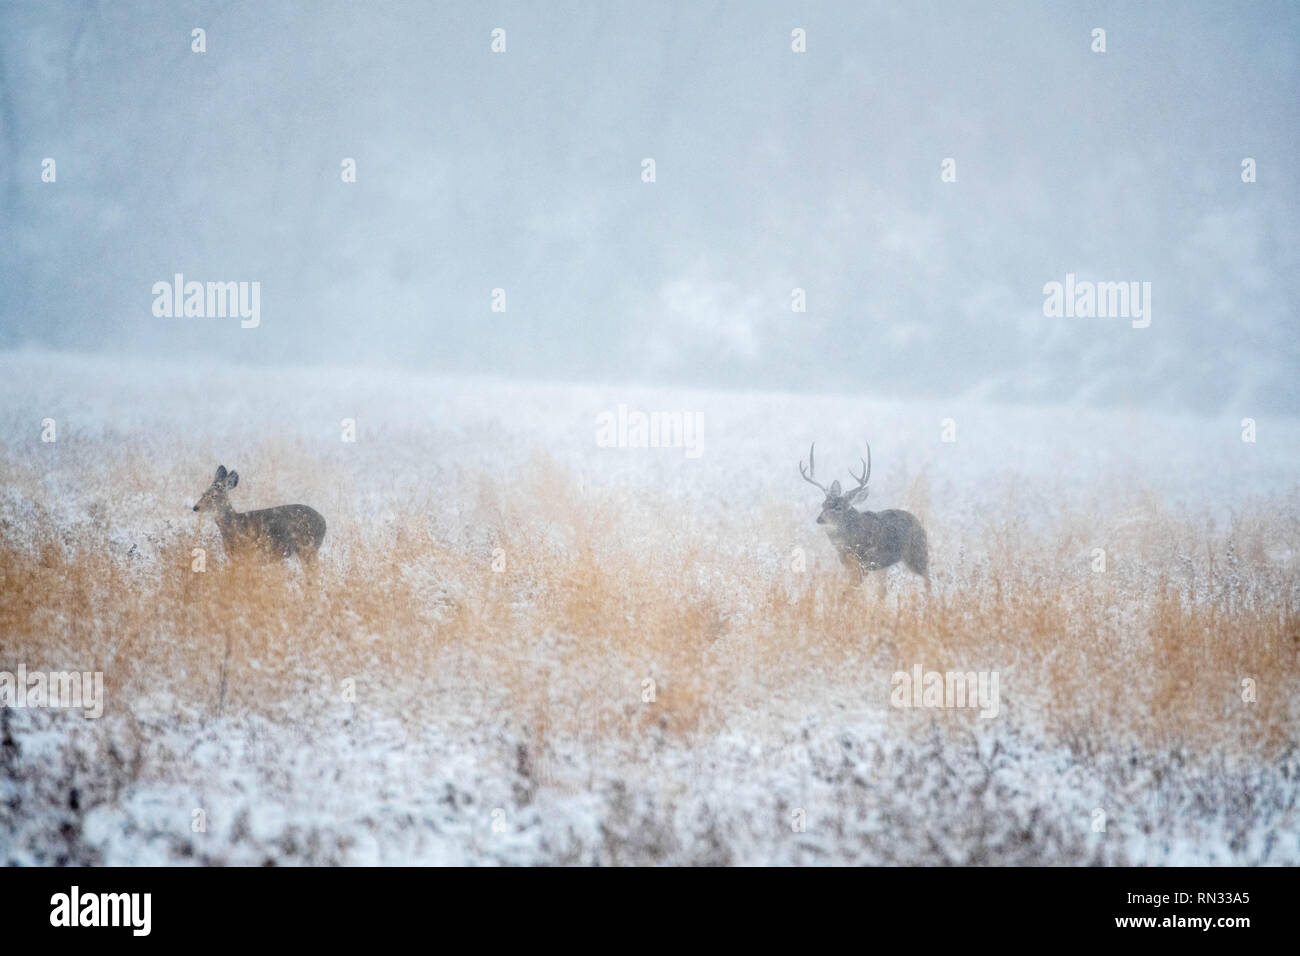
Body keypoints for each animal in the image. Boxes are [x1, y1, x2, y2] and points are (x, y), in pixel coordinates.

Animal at [191, 465, 327, 564]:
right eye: (203, 493)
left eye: (214, 496)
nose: (196, 507)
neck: (234, 525)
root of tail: (324, 522)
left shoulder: (249, 555)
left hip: (308, 548)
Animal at [795, 442, 930, 590]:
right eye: (823, 504)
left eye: (838, 508)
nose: (819, 519)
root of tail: (918, 521)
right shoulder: (849, 564)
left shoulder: (864, 562)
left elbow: (852, 589)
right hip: (884, 567)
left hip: (917, 553)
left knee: (927, 578)